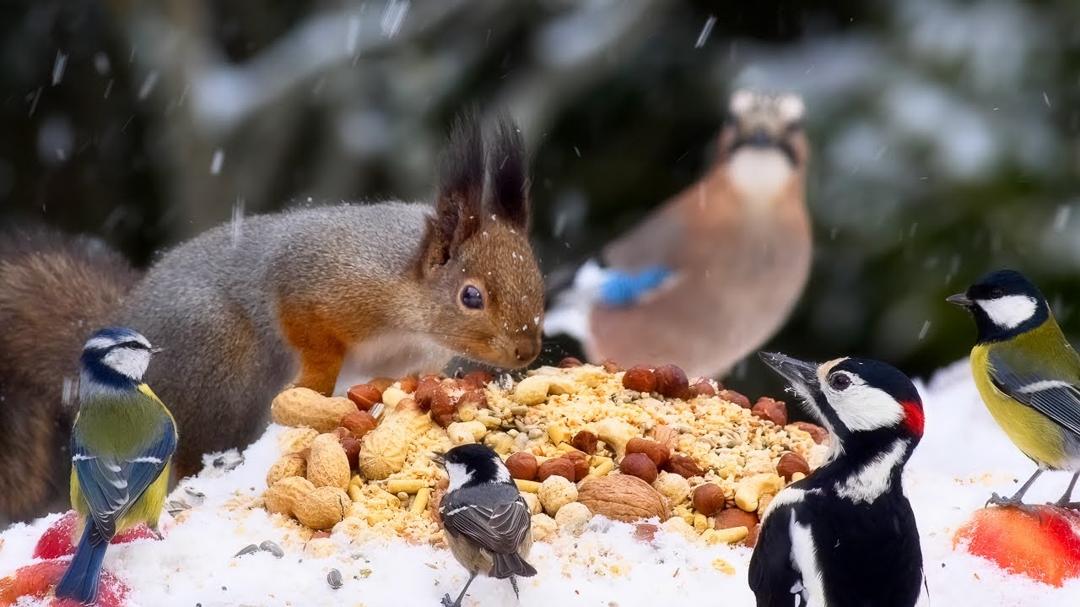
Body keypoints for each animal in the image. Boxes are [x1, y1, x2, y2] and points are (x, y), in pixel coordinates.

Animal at [0, 113, 544, 522]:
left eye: (537, 275)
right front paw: (316, 389)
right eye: (470, 296)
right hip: (219, 359)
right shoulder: (317, 280)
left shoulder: (413, 359)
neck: (407, 308)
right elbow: (307, 331)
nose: (527, 351)